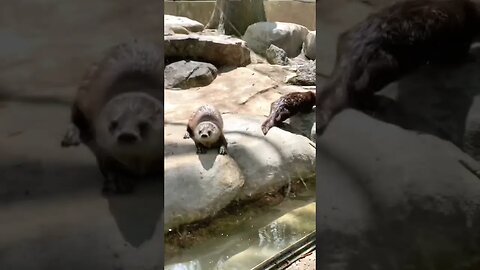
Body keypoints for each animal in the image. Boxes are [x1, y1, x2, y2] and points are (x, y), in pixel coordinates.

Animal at [59, 39, 165, 193]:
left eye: (144, 125)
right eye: (114, 124)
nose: (127, 135)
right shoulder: (103, 147)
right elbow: (107, 164)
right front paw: (118, 179)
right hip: (85, 90)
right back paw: (72, 135)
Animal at [316, 0, 480, 135]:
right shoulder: (461, 36)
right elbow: (457, 56)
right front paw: (471, 58)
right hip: (388, 64)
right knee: (360, 87)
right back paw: (377, 105)